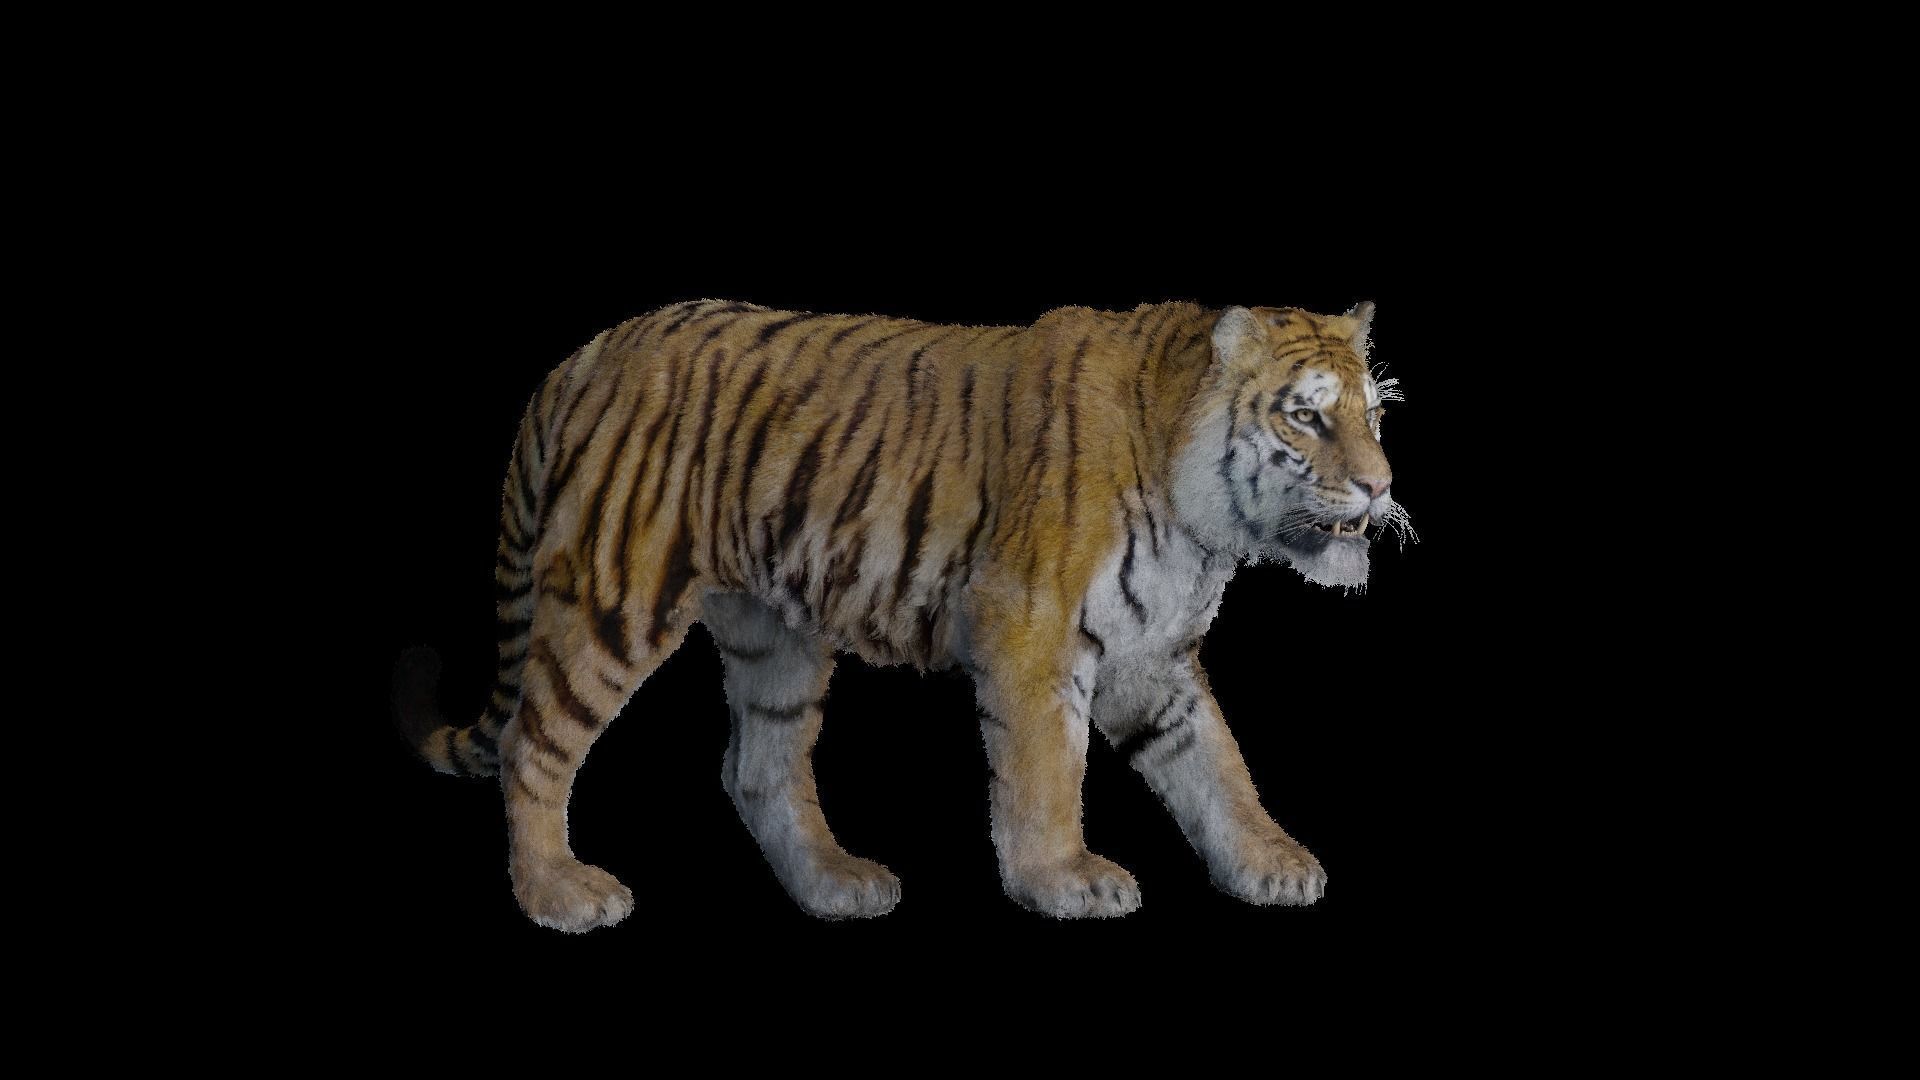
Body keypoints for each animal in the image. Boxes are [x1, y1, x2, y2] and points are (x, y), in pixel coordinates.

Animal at [393, 297, 1409, 930]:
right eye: (1307, 418)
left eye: (1375, 416)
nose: (1380, 486)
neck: (1202, 520)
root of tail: (585, 354)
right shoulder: (1031, 628)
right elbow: (1046, 769)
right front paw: (1063, 879)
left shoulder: (1151, 656)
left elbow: (1215, 766)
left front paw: (1270, 861)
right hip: (614, 600)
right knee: (532, 742)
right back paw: (558, 894)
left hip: (777, 637)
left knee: (756, 767)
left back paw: (836, 883)